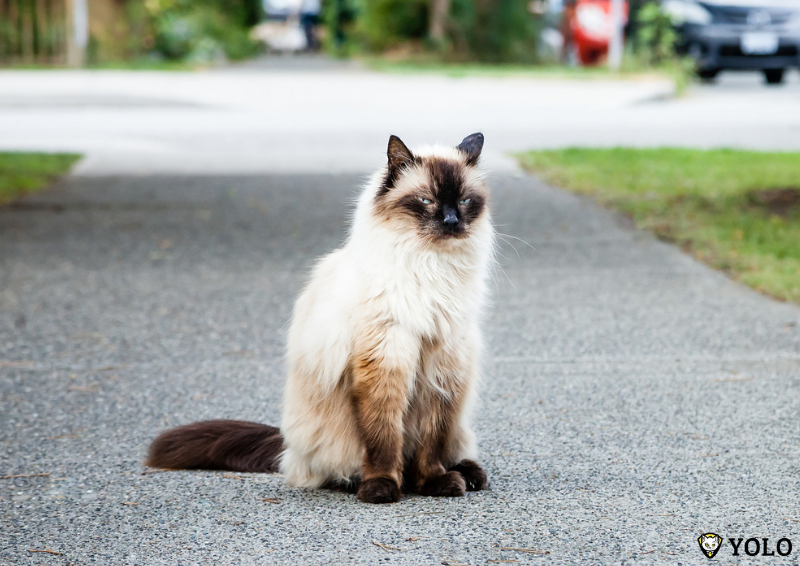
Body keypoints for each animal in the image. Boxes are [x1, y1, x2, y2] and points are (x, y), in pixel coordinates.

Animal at [145, 133, 494, 506]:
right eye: (426, 200)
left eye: (464, 201)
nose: (452, 222)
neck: (431, 267)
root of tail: (287, 447)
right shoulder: (385, 362)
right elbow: (383, 439)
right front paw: (382, 488)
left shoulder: (442, 369)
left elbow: (432, 445)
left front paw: (437, 483)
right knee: (338, 468)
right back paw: (367, 482)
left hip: (459, 421)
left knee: (446, 451)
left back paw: (466, 475)